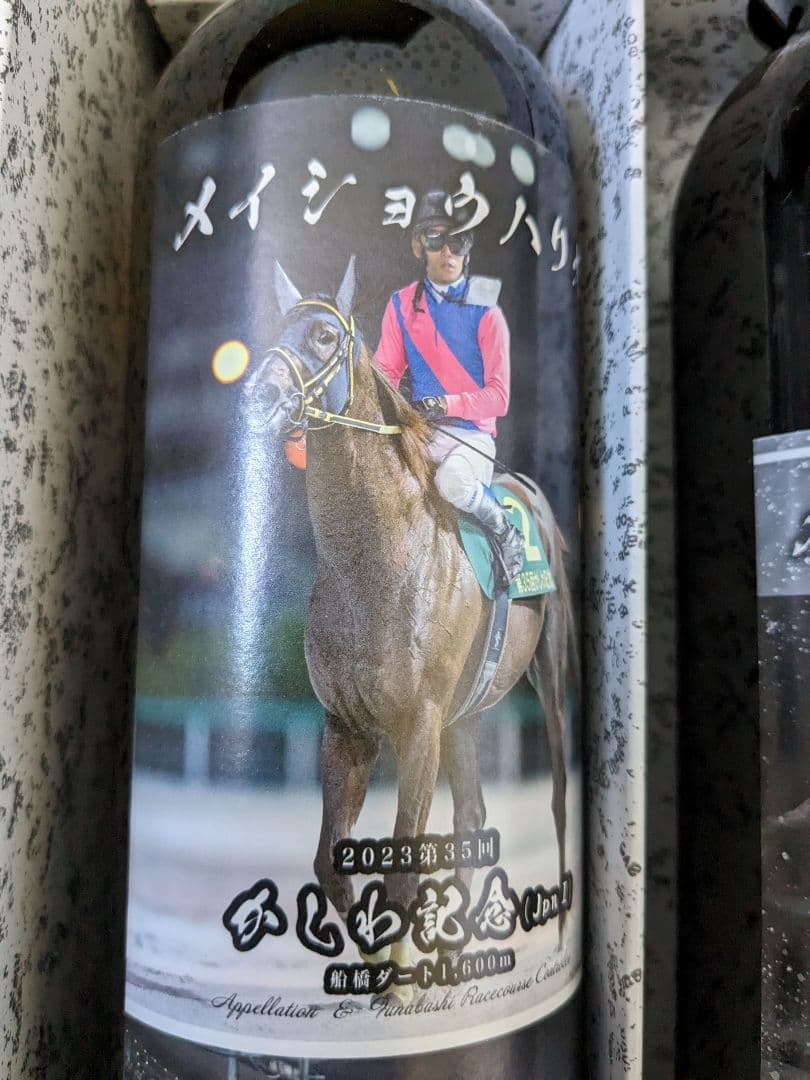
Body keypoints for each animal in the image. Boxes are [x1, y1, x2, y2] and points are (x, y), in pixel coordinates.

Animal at [242, 257, 575, 964]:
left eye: (323, 337)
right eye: (277, 330)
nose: (259, 395)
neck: (374, 567)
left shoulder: (418, 724)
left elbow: (401, 873)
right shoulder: (347, 725)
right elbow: (333, 866)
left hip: (551, 678)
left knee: (559, 797)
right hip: (464, 717)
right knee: (472, 818)